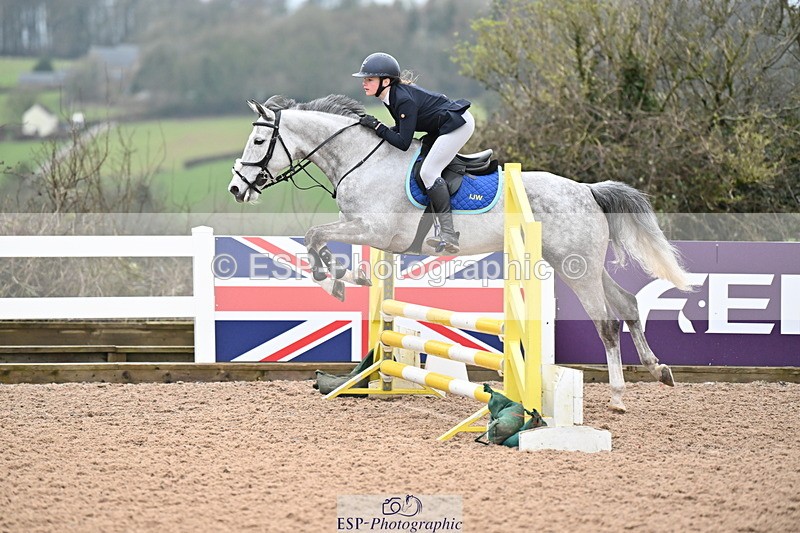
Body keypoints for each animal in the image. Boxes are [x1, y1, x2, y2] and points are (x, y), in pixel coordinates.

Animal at [228, 94, 694, 412]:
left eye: (258, 139)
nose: (236, 189)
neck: (361, 160)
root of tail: (587, 190)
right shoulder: (370, 235)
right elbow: (326, 243)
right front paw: (350, 278)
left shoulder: (374, 230)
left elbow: (314, 236)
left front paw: (334, 282)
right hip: (578, 263)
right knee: (627, 303)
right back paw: (659, 370)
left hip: (575, 267)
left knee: (607, 323)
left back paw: (617, 395)